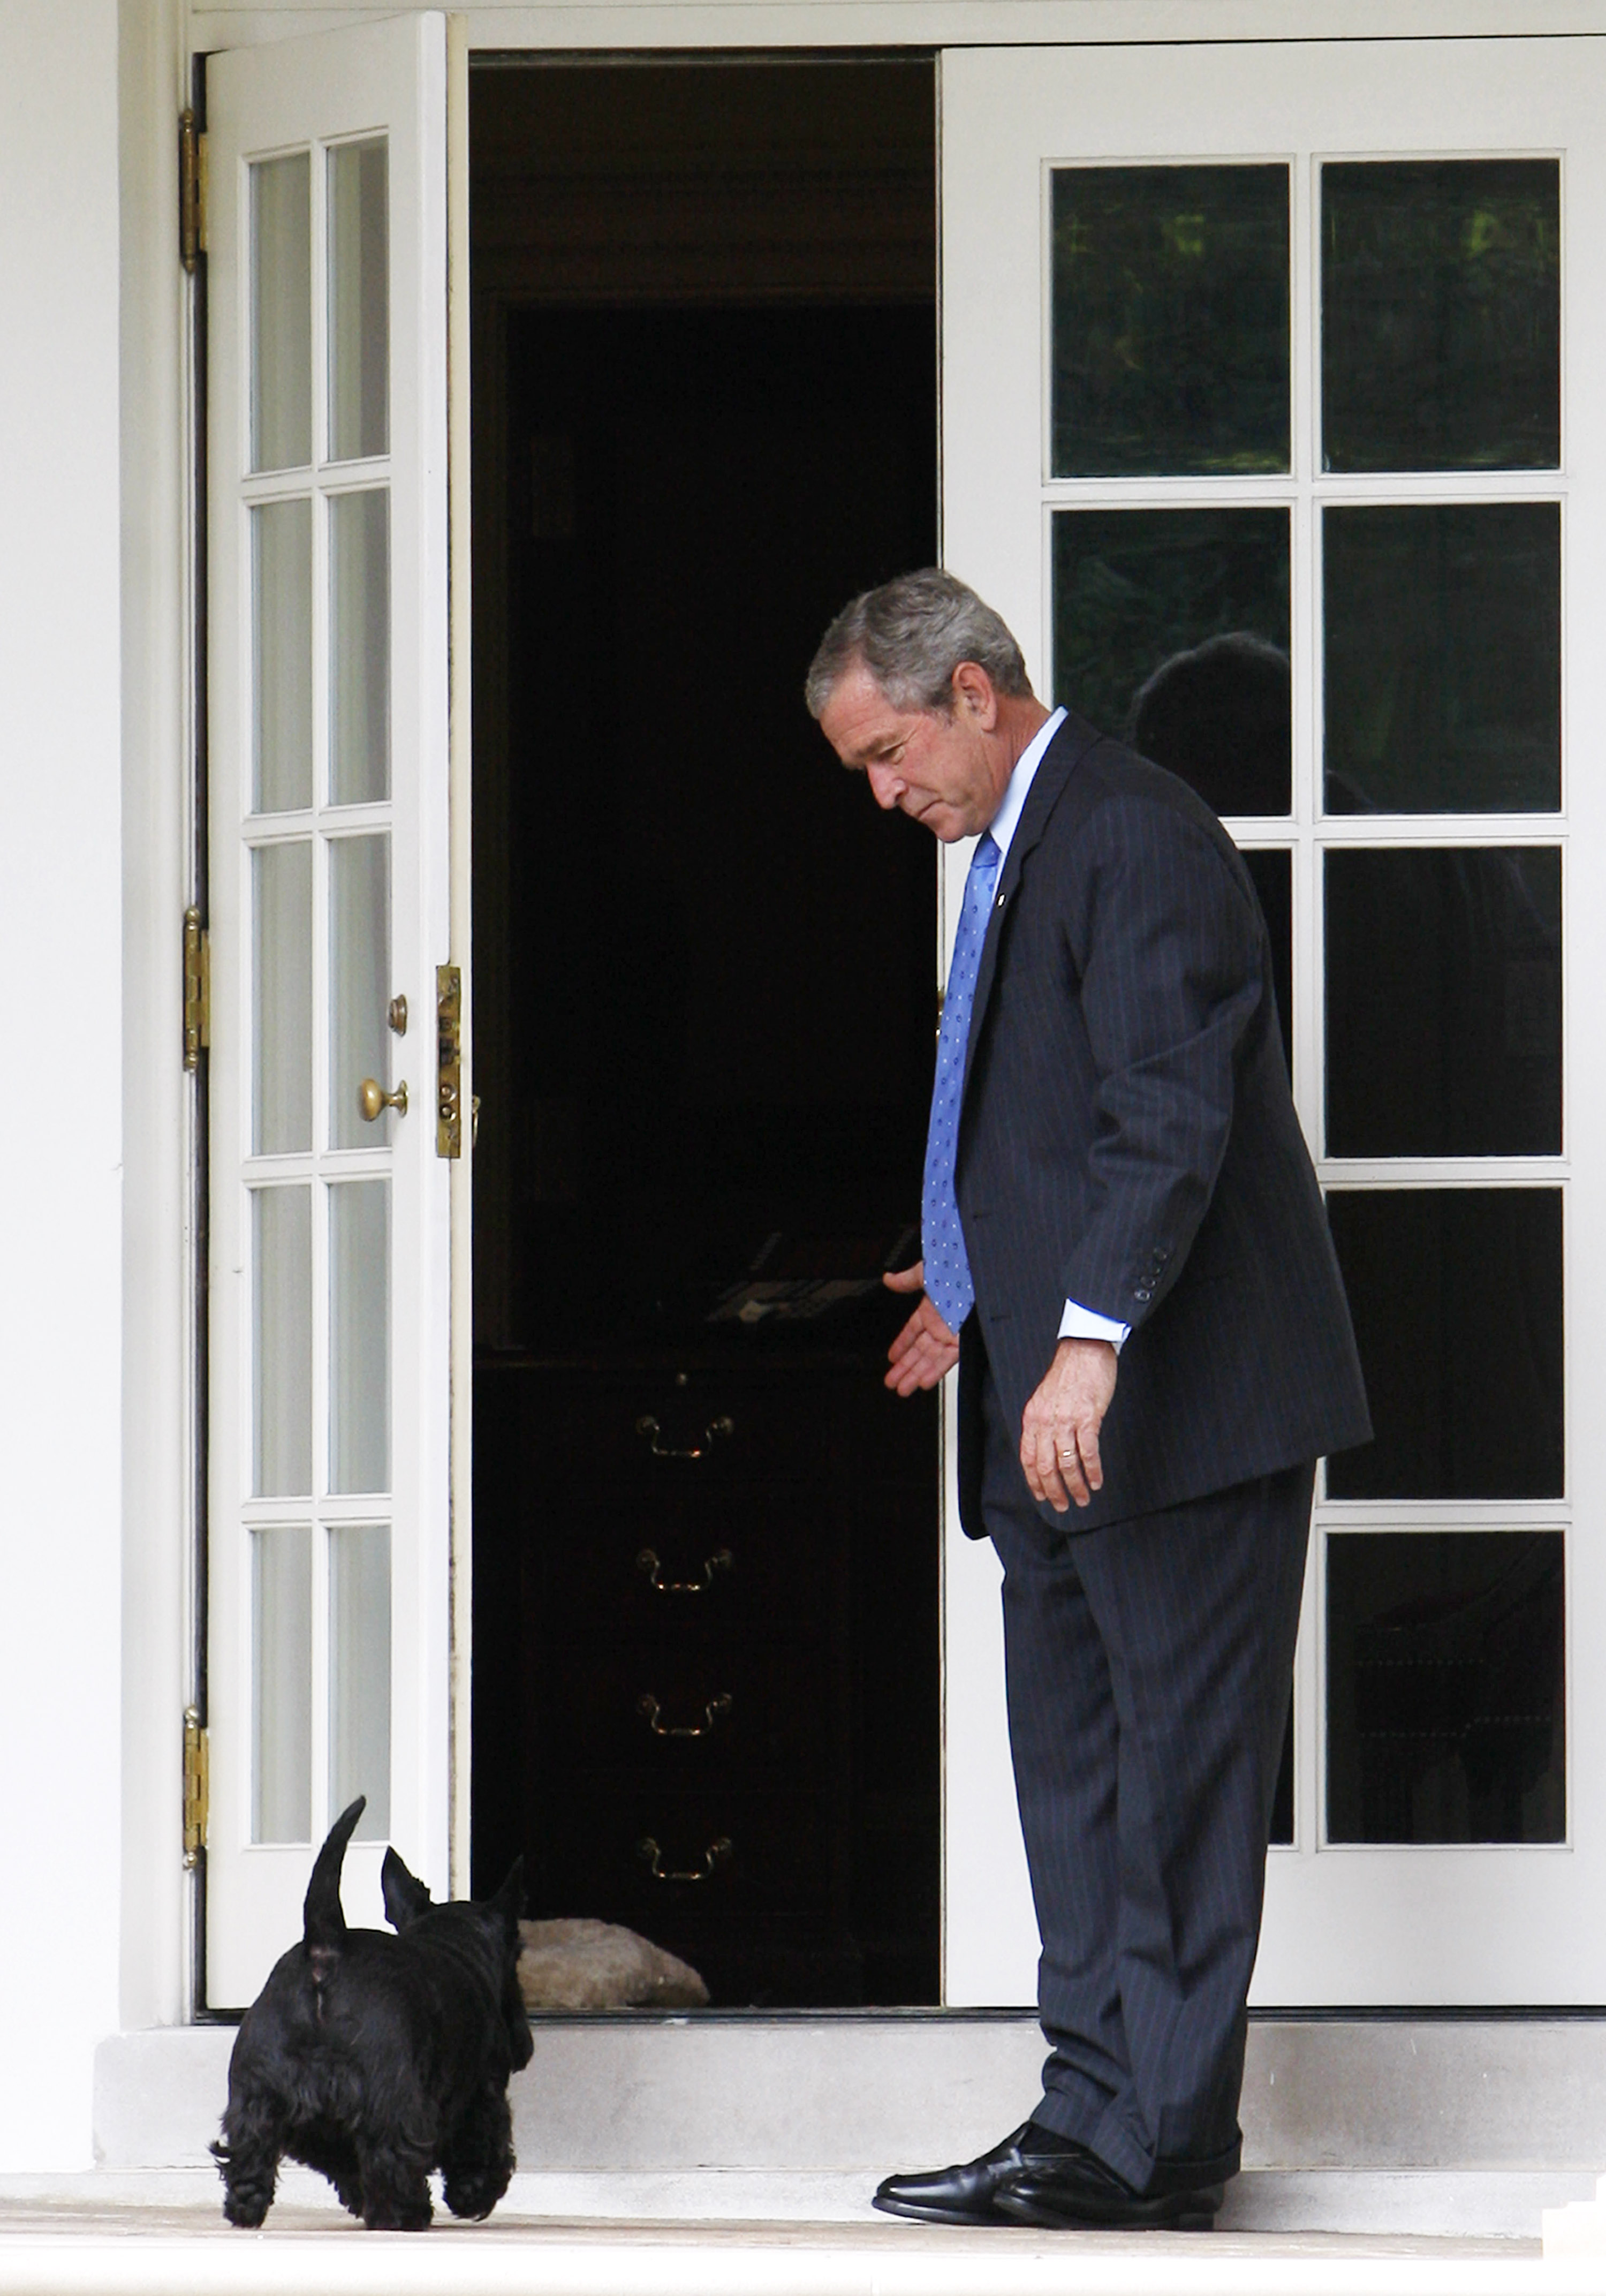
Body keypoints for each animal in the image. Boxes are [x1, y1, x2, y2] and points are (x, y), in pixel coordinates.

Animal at [212, 1796, 532, 2230]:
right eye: (517, 1957)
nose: (524, 2045)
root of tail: (325, 1947)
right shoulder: (482, 2091)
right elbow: (481, 2144)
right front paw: (474, 2193)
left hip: (259, 2091)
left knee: (258, 2150)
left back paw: (249, 2205)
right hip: (389, 2093)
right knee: (390, 2154)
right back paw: (405, 2212)